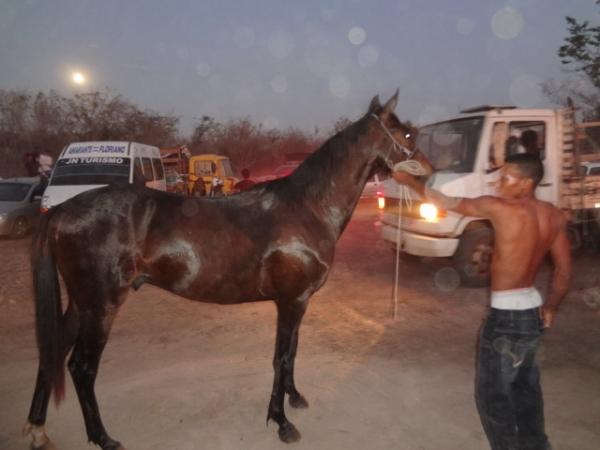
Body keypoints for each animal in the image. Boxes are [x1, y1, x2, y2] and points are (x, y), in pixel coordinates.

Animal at [23, 89, 426, 448]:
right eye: (406, 133)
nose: (427, 172)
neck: (308, 208)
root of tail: (62, 210)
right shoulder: (291, 300)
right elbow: (280, 357)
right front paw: (281, 423)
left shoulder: (300, 301)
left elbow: (292, 352)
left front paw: (294, 398)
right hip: (101, 305)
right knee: (81, 368)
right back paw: (103, 438)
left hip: (81, 304)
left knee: (51, 353)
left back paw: (38, 431)